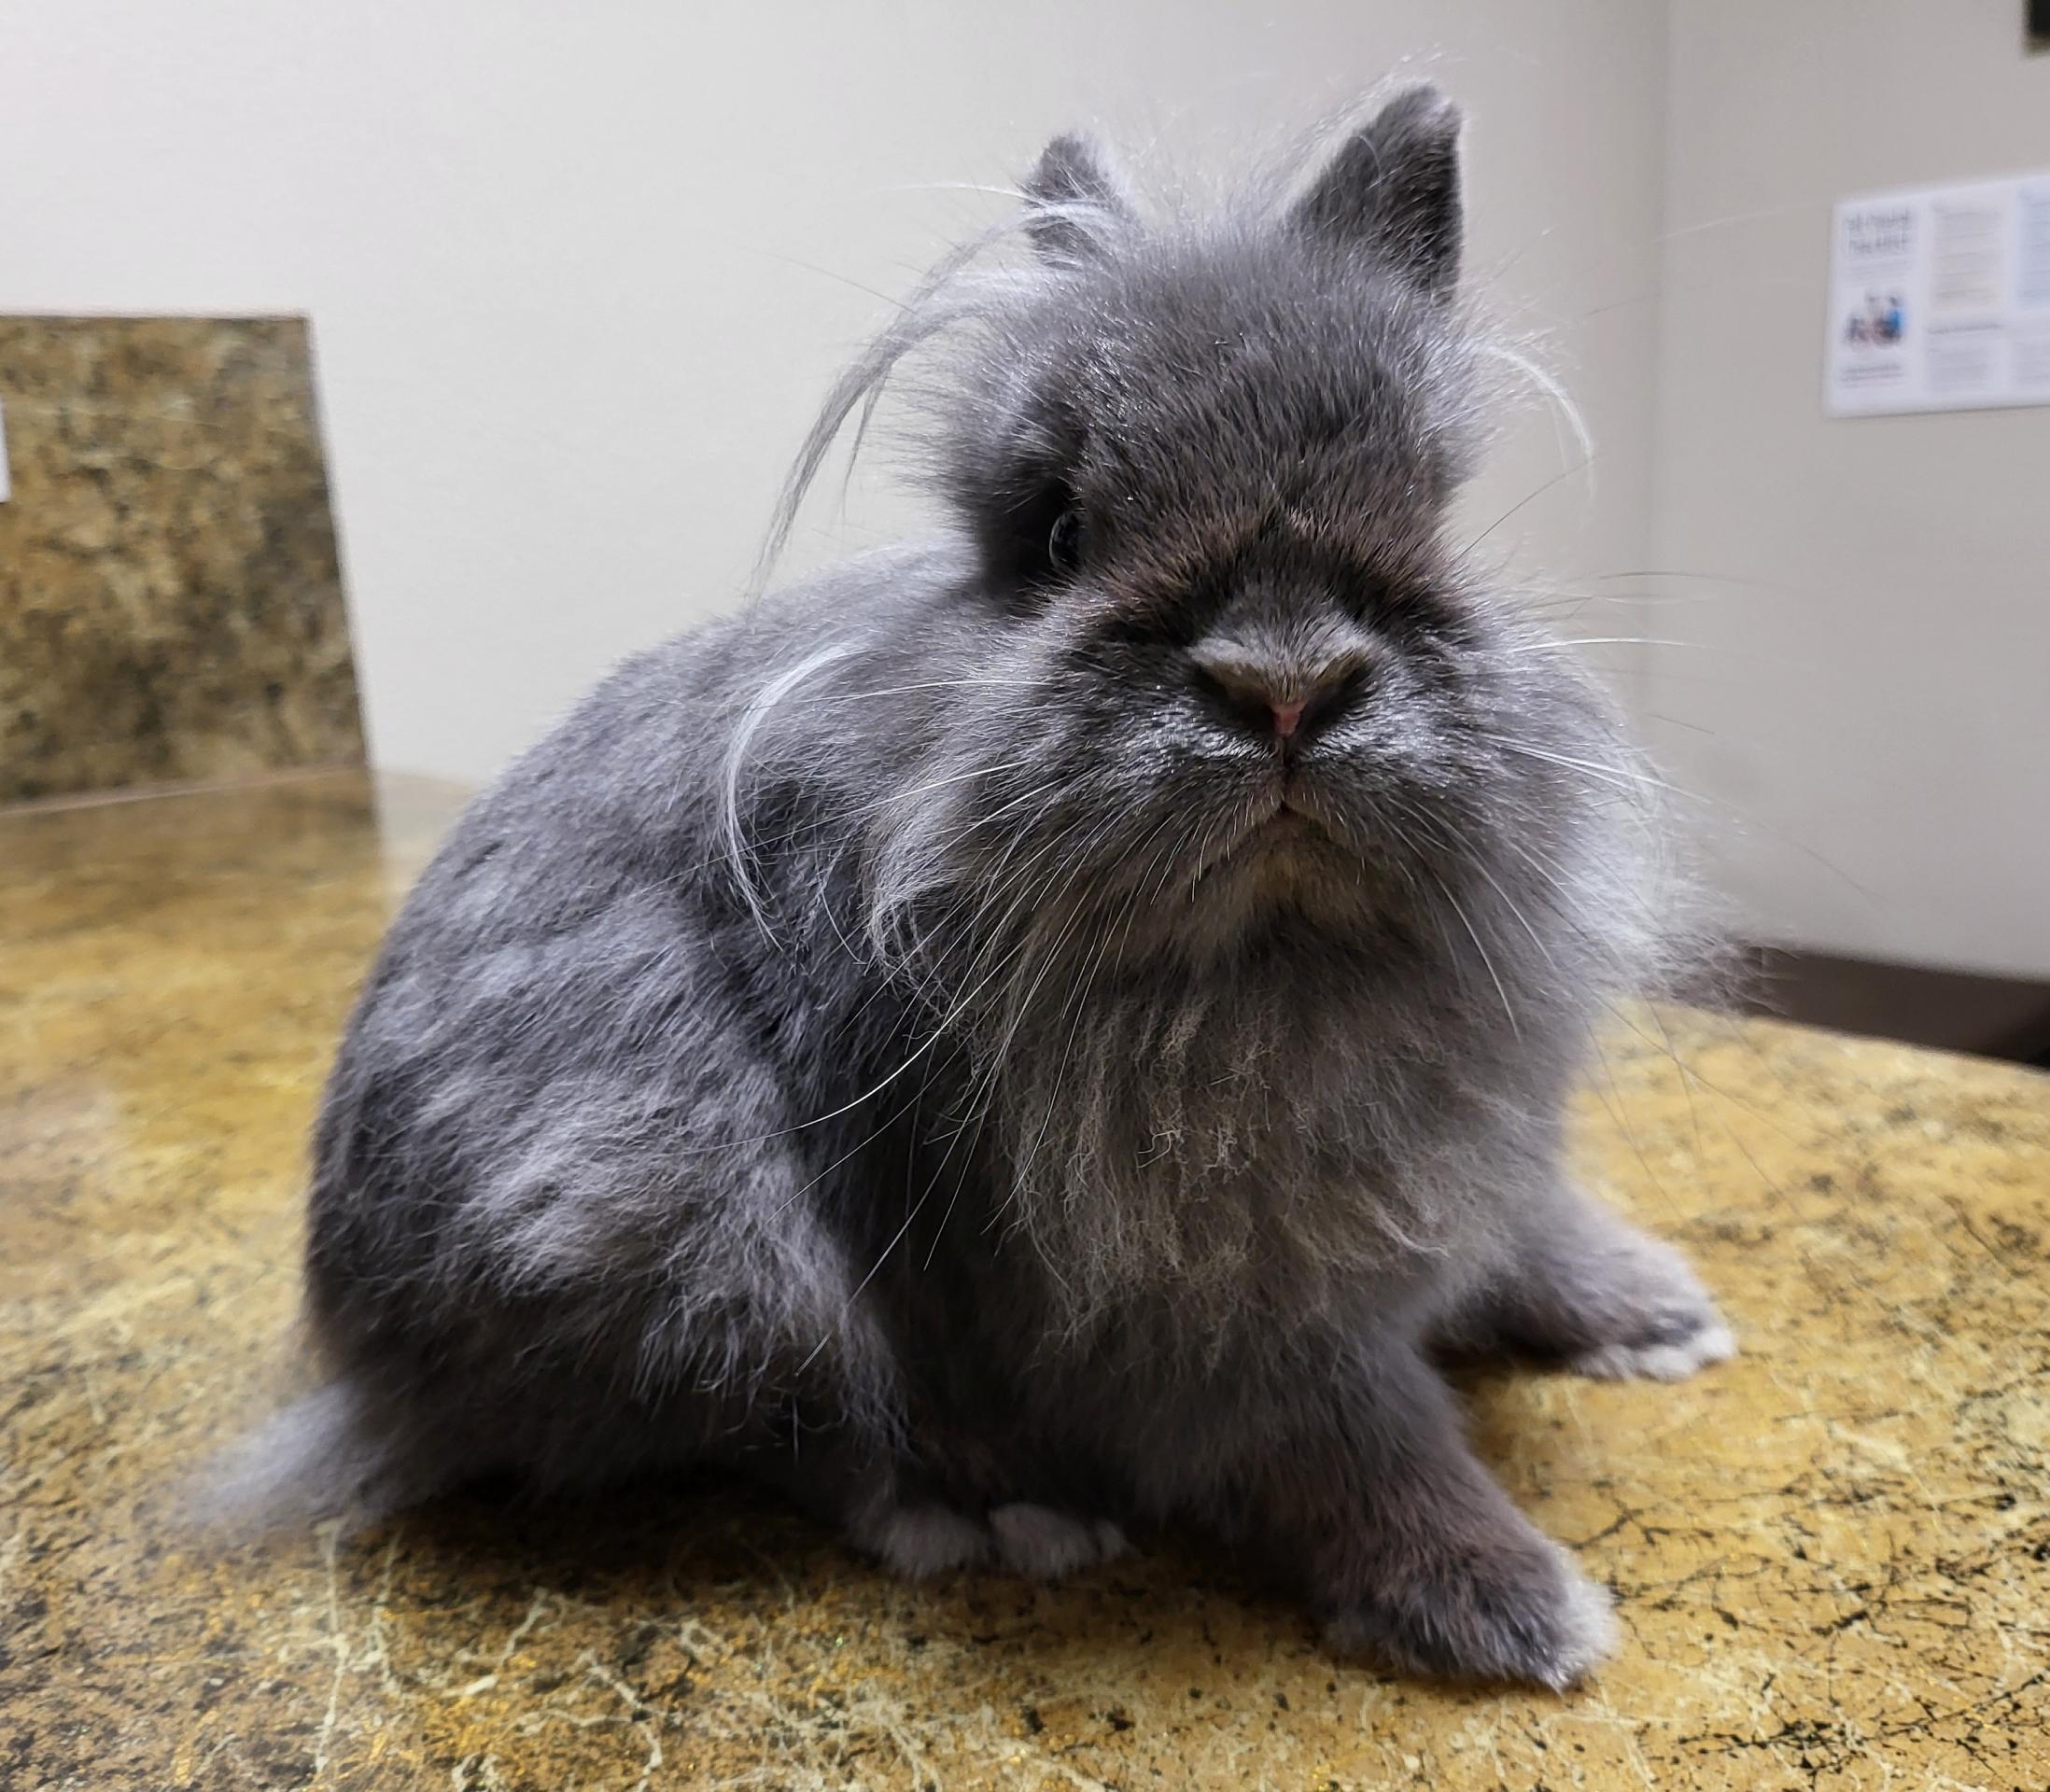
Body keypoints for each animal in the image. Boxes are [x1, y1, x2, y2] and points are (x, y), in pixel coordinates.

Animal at [260, 91, 1730, 1681]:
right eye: (1060, 537)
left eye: (1430, 516)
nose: (1283, 686)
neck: (1270, 964)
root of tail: (366, 1355)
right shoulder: (1210, 1309)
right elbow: (1349, 1441)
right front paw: (1516, 1611)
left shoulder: (1461, 1158)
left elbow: (1524, 1229)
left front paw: (1660, 1318)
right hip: (658, 1201)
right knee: (781, 1420)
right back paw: (989, 1506)